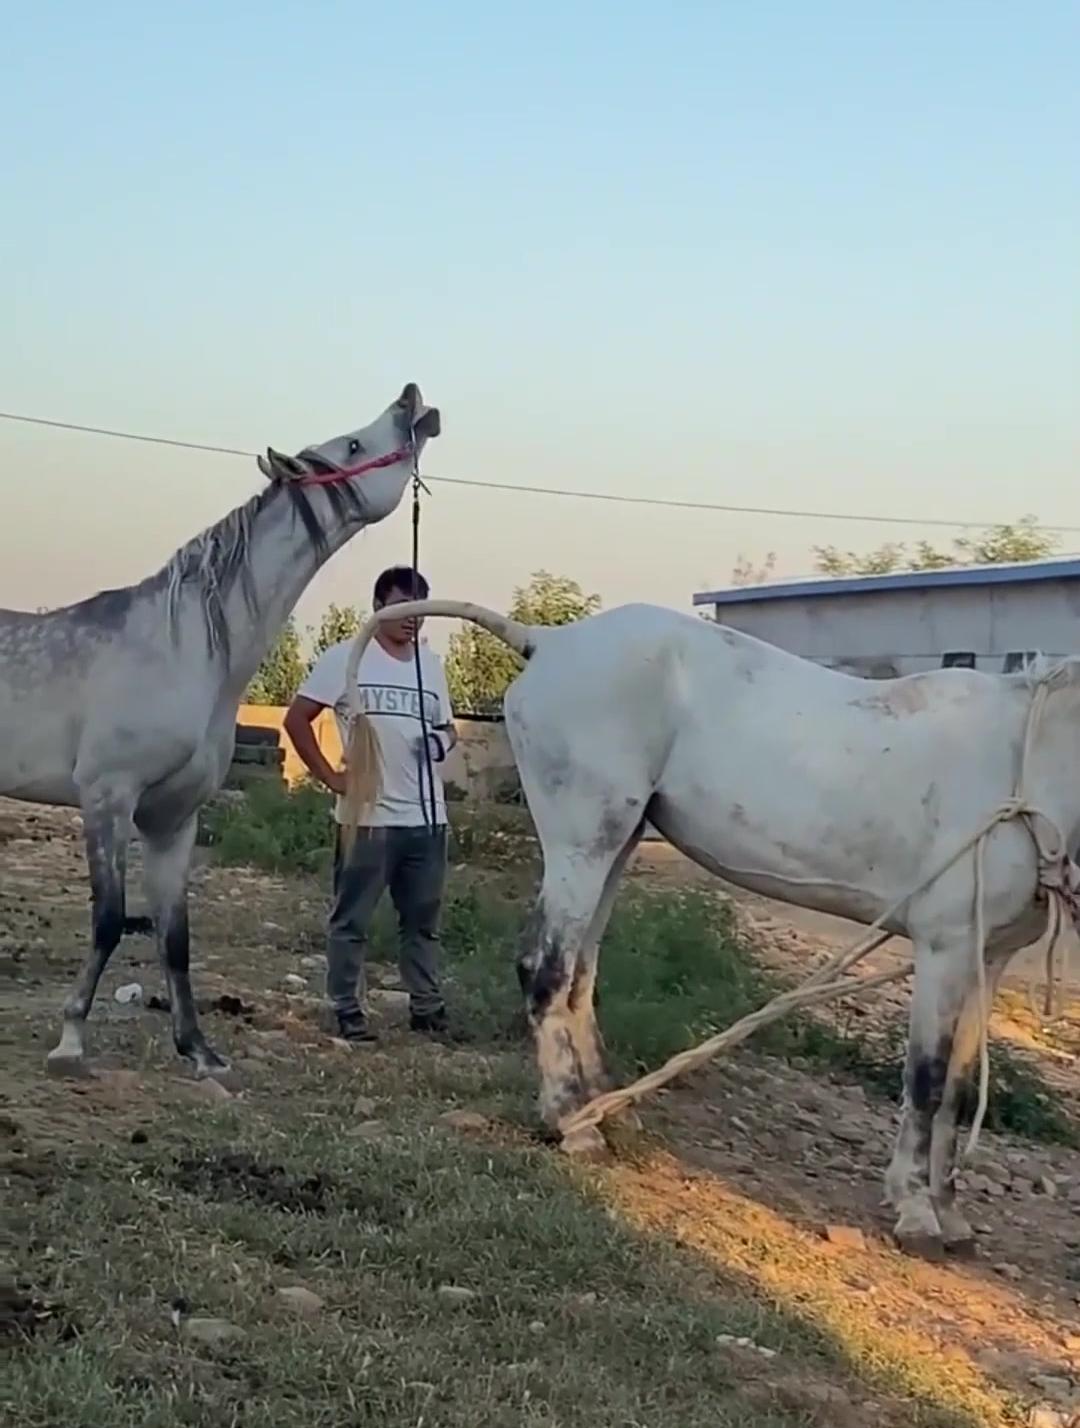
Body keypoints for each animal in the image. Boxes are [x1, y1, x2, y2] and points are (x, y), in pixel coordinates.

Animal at [1, 385, 440, 1073]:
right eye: (351, 444)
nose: (411, 398)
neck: (180, 647)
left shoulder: (173, 818)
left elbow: (175, 935)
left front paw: (198, 1049)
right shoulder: (107, 798)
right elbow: (108, 919)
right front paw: (70, 1040)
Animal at [340, 596, 1080, 1256]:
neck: (1025, 760)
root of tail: (548, 642)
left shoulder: (986, 956)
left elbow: (960, 1085)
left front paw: (950, 1216)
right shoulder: (943, 946)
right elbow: (926, 1080)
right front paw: (917, 1215)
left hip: (619, 842)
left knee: (581, 973)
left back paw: (603, 1106)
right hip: (584, 840)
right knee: (547, 970)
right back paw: (573, 1125)